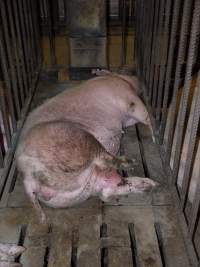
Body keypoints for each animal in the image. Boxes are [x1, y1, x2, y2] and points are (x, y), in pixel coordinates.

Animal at [16, 120, 158, 223]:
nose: (155, 185)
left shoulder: (104, 189)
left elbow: (110, 192)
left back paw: (42, 219)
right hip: (84, 147)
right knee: (108, 159)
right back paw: (131, 163)